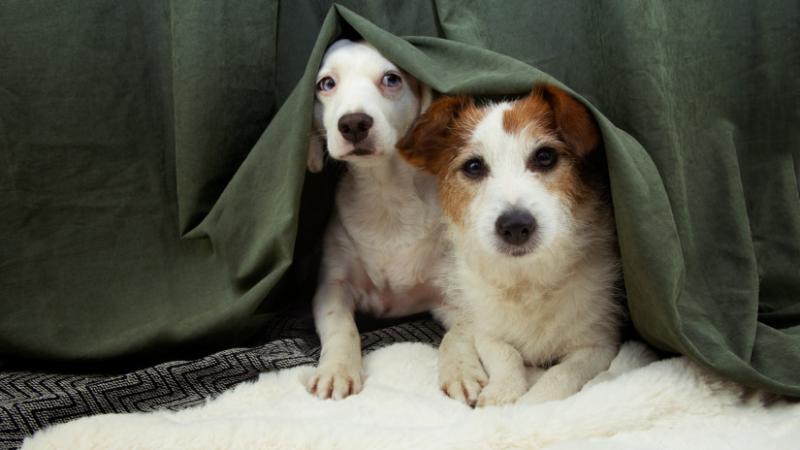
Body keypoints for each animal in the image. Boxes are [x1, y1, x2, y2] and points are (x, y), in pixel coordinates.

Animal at [304, 39, 484, 400]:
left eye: (391, 79)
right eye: (326, 84)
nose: (354, 123)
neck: (386, 197)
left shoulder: (456, 293)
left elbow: (458, 334)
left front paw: (461, 370)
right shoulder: (332, 288)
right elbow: (341, 327)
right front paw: (336, 369)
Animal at [400, 82, 624, 406]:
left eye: (545, 157)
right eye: (473, 166)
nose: (515, 226)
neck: (526, 280)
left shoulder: (599, 344)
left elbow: (561, 374)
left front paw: (532, 404)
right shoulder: (487, 330)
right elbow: (505, 354)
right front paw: (503, 391)